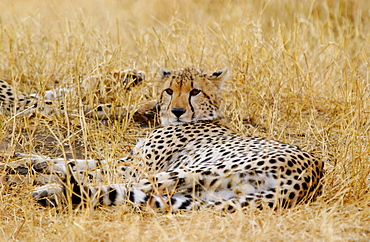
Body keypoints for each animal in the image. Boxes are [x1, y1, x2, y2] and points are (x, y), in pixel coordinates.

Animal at [2, 67, 324, 212]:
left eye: (195, 91)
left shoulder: (136, 165)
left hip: (188, 171)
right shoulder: (130, 159)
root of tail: (310, 177)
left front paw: (29, 169)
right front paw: (26, 160)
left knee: (123, 189)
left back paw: (51, 191)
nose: (177, 111)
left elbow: (88, 167)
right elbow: (73, 160)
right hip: (204, 194)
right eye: (169, 90)